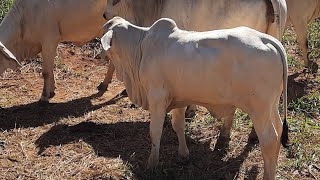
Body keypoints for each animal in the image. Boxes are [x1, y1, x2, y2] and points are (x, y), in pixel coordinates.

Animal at [100, 16, 290, 179]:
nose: (101, 54)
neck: (140, 47)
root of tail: (268, 40)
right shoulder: (178, 99)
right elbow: (178, 126)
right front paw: (183, 154)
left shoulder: (157, 98)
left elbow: (155, 132)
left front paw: (152, 163)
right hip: (271, 106)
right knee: (279, 131)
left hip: (259, 110)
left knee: (269, 140)